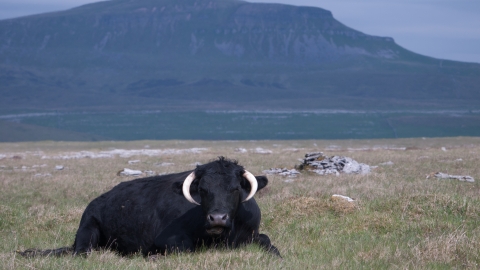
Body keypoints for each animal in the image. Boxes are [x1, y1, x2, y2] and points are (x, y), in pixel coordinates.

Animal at [19, 158, 282, 258]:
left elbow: (268, 242)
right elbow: (184, 249)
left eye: (235, 189)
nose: (217, 218)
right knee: (83, 252)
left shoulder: (252, 234)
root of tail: (99, 199)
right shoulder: (169, 240)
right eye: (203, 189)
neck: (223, 237)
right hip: (87, 229)